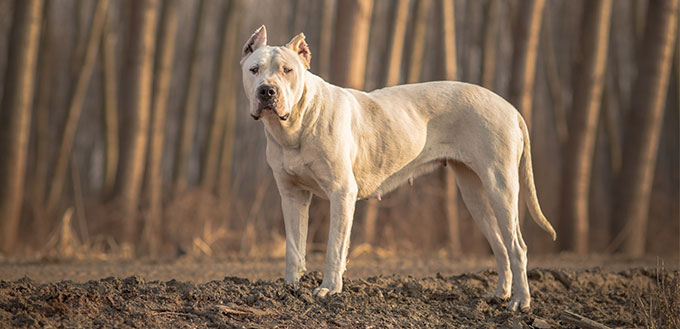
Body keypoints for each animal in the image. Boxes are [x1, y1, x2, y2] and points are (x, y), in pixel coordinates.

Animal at [242, 25, 556, 310]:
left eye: (287, 70)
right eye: (254, 69)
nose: (267, 91)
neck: (296, 124)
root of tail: (510, 108)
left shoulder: (342, 193)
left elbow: (334, 247)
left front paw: (329, 289)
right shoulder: (292, 195)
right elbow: (294, 247)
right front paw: (289, 288)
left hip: (500, 186)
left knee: (517, 246)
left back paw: (520, 302)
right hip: (474, 193)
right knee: (501, 246)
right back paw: (501, 294)